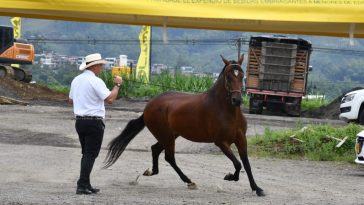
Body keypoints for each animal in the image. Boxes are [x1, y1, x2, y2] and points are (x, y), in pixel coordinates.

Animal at [104, 54, 264, 197]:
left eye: (241, 75)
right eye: (228, 76)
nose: (237, 100)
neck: (226, 111)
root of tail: (149, 106)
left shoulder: (241, 140)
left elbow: (246, 165)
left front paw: (257, 189)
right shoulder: (221, 142)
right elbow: (238, 164)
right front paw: (230, 176)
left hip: (170, 135)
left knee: (156, 149)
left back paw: (152, 172)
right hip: (167, 137)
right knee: (169, 157)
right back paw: (188, 181)